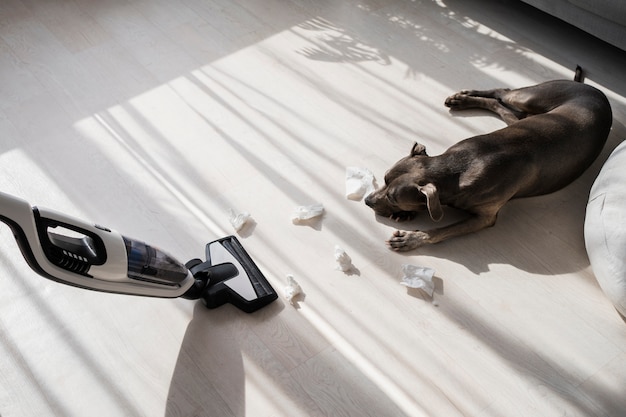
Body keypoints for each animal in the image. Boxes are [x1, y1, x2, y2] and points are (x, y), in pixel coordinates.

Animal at [364, 69, 612, 250]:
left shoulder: (484, 218)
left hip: (532, 99)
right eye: (384, 179)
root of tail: (594, 89)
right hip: (528, 106)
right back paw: (462, 99)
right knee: (502, 97)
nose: (367, 201)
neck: (459, 167)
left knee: (505, 94)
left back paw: (464, 99)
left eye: (394, 198)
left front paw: (411, 238)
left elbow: (441, 231)